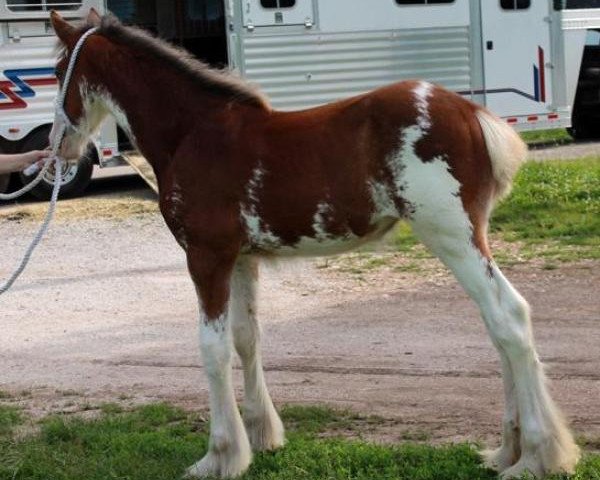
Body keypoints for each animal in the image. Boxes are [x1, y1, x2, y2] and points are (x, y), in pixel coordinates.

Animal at [52, 9, 580, 478]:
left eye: (58, 72)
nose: (59, 149)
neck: (193, 133)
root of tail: (472, 113)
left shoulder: (206, 257)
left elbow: (213, 349)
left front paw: (220, 456)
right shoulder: (241, 260)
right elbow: (246, 339)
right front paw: (262, 438)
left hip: (451, 234)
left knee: (508, 316)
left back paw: (536, 456)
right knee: (497, 325)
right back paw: (507, 451)